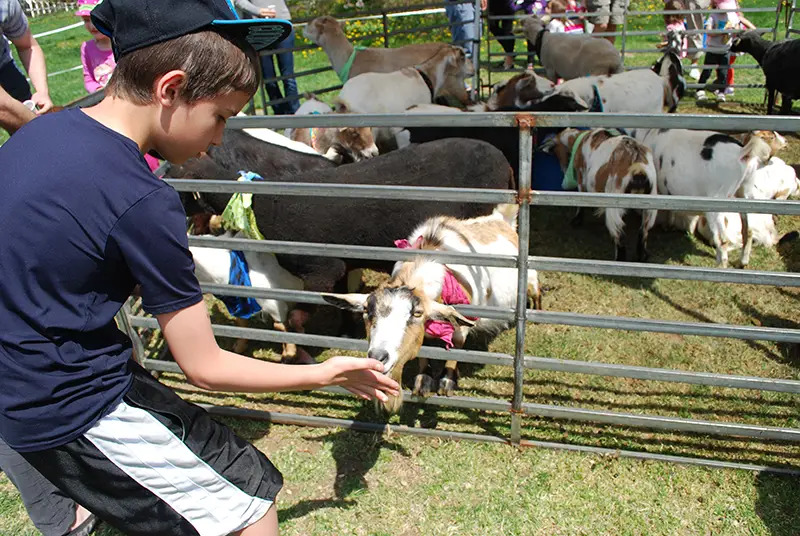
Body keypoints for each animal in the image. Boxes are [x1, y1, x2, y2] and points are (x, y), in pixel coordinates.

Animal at [322, 205, 540, 414]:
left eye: (416, 313)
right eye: (367, 311)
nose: (378, 357)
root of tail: (500, 218)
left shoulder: (461, 325)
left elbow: (456, 347)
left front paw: (447, 381)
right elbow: (423, 349)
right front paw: (423, 380)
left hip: (528, 277)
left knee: (535, 283)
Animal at [544, 127, 656, 260]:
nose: (563, 168)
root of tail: (638, 167)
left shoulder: (581, 177)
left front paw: (577, 220)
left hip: (614, 203)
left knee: (619, 234)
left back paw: (619, 259)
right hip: (650, 205)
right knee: (643, 232)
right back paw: (642, 256)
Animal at [628, 127, 780, 266]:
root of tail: (741, 154)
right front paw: (668, 226)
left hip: (716, 200)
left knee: (722, 239)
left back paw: (719, 267)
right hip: (747, 192)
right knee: (748, 230)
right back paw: (742, 263)